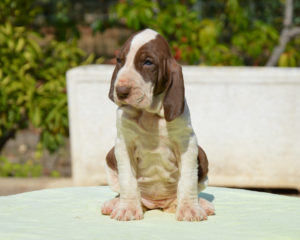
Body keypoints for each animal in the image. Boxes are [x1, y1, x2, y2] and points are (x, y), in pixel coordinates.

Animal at [102, 28, 214, 221]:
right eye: (119, 60)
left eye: (148, 62)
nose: (120, 91)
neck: (149, 113)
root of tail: (157, 204)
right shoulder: (123, 145)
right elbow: (128, 181)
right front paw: (127, 208)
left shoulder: (187, 144)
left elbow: (188, 180)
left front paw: (190, 209)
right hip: (110, 156)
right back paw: (115, 203)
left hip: (202, 156)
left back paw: (200, 204)